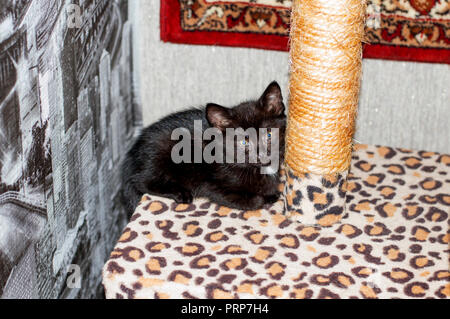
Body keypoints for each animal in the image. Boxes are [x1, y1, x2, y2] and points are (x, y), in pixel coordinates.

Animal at [121, 82, 286, 218]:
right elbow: (254, 201)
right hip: (159, 154)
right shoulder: (212, 185)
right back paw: (180, 193)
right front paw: (268, 197)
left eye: (268, 134)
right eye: (244, 141)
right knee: (142, 181)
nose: (262, 154)